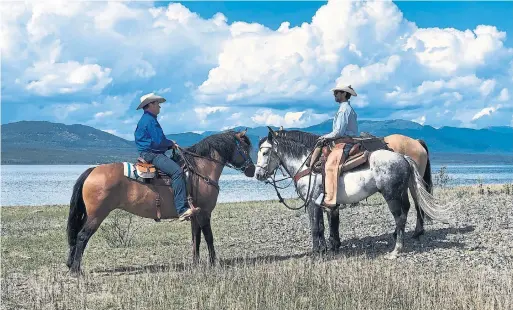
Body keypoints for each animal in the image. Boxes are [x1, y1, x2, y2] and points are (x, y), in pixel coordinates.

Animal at [66, 130, 254, 274]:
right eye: (245, 148)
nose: (252, 170)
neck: (200, 170)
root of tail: (93, 170)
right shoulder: (205, 212)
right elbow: (209, 237)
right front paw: (214, 263)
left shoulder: (196, 215)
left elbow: (196, 238)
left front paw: (196, 263)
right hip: (97, 215)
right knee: (82, 236)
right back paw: (76, 270)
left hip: (89, 215)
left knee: (76, 235)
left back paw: (70, 264)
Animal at [254, 127, 450, 258]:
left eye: (264, 153)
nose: (258, 175)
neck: (308, 164)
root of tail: (403, 157)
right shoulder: (324, 203)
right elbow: (327, 224)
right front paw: (329, 247)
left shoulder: (312, 202)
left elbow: (316, 227)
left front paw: (317, 252)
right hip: (402, 191)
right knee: (408, 209)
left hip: (392, 194)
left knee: (402, 216)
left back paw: (397, 250)